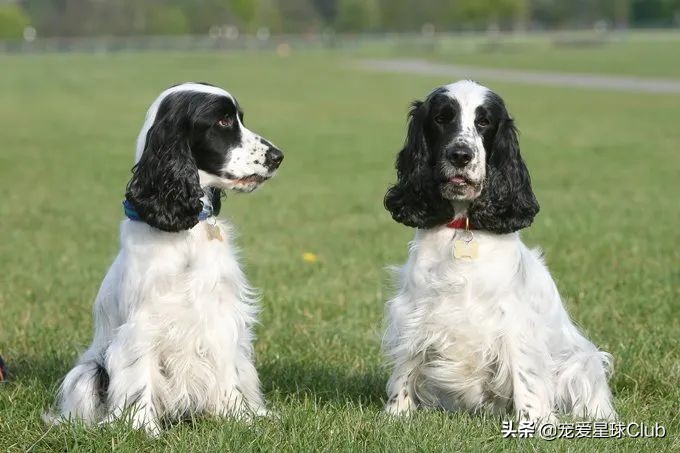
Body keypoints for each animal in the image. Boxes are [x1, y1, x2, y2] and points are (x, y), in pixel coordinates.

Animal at [46, 83, 282, 432]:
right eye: (223, 121)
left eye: (239, 117)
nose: (278, 156)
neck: (185, 230)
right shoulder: (142, 323)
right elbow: (138, 376)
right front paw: (141, 428)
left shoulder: (220, 316)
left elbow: (228, 372)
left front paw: (239, 418)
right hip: (88, 372)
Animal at [382, 79, 616, 422]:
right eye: (441, 118)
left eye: (484, 122)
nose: (461, 155)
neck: (464, 226)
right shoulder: (415, 308)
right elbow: (406, 364)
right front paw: (396, 413)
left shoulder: (515, 322)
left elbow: (526, 376)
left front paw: (535, 422)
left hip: (580, 363)